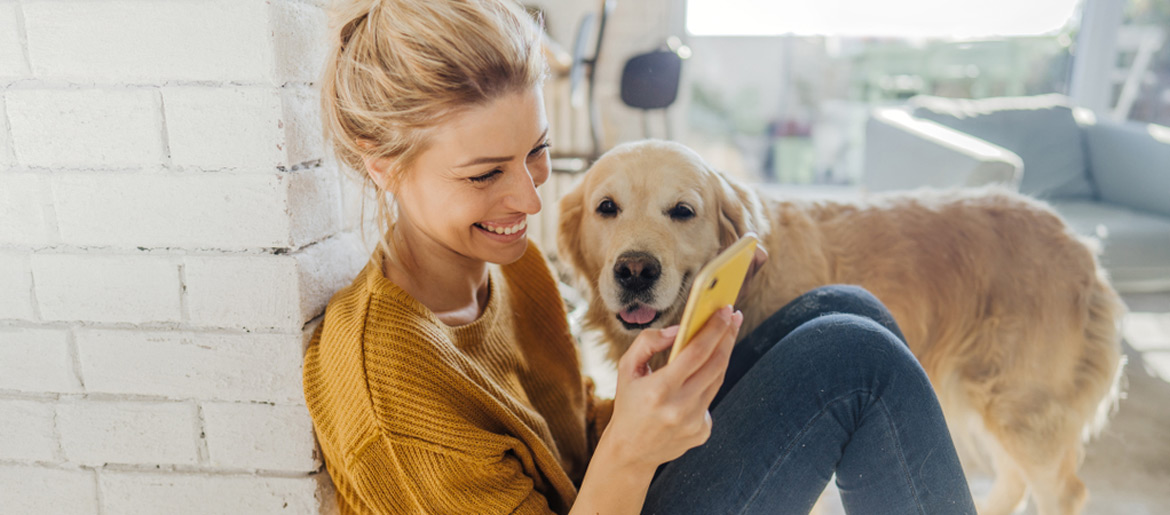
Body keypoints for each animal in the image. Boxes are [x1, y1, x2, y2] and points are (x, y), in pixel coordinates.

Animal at [556, 138, 1123, 512]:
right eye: (606, 207)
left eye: (682, 211)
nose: (634, 271)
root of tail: (1081, 245)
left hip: (1024, 408)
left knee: (1061, 490)